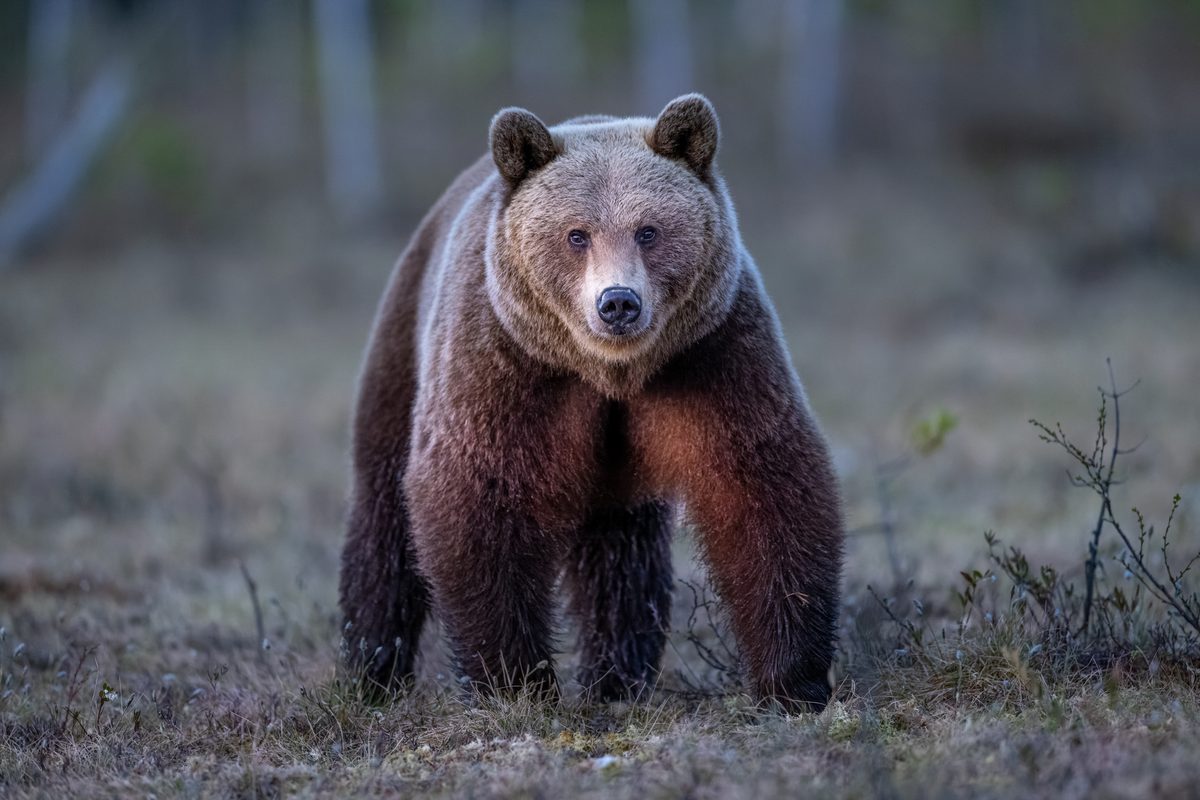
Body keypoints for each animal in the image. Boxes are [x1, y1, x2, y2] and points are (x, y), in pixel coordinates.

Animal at [339, 94, 844, 710]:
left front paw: (794, 679)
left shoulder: (712, 354)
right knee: (382, 515)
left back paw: (618, 676)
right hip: (402, 346)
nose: (618, 302)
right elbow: (477, 492)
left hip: (617, 470)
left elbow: (760, 484)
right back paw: (371, 668)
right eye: (576, 234)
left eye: (648, 230)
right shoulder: (503, 363)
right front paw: (513, 678)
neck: (608, 372)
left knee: (621, 555)